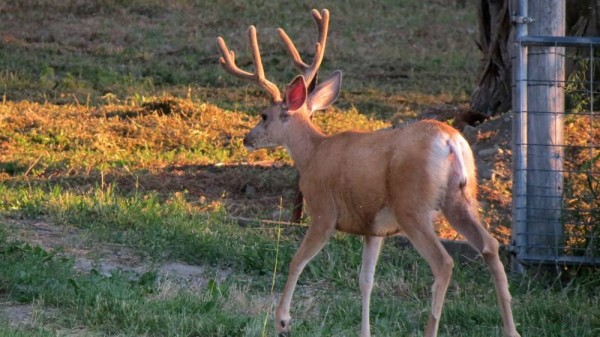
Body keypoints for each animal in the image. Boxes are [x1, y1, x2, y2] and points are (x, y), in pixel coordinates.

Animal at [216, 9, 520, 336]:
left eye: (264, 116)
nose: (247, 139)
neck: (312, 153)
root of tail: (451, 140)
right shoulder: (374, 228)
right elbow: (365, 281)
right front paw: (365, 330)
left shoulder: (323, 211)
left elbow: (296, 260)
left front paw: (282, 319)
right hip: (461, 197)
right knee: (490, 245)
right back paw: (511, 329)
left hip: (412, 204)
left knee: (444, 262)